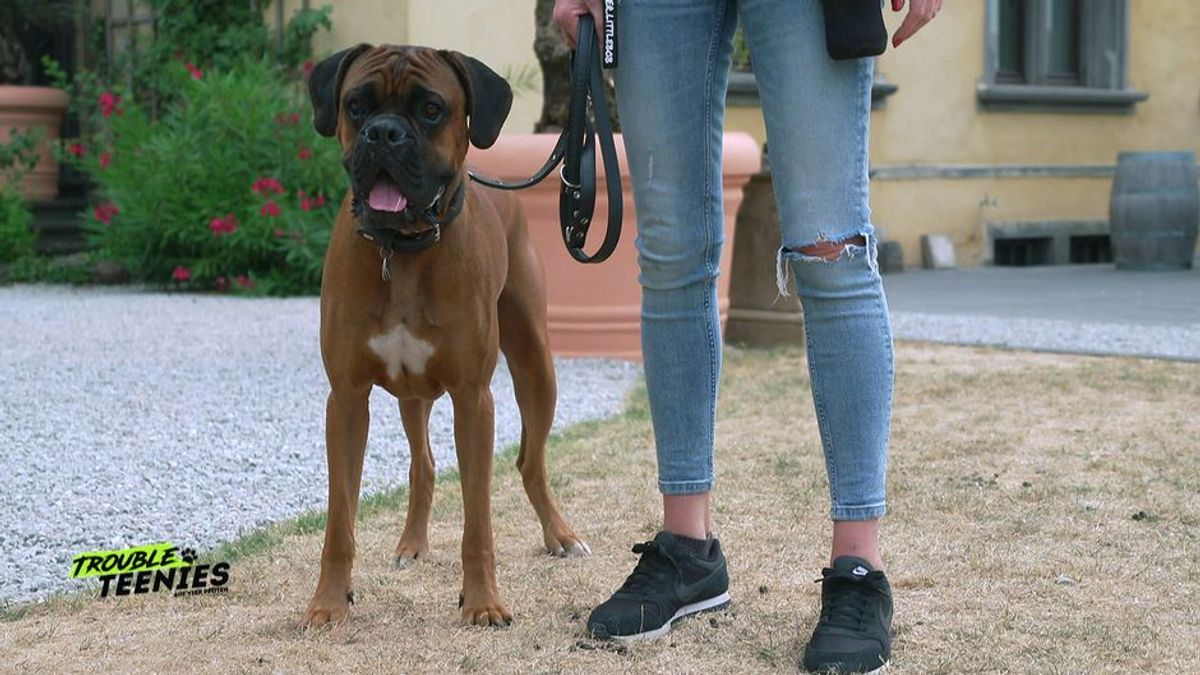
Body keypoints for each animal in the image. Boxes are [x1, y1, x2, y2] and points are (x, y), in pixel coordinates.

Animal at [302, 44, 588, 629]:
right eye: (357, 105)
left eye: (431, 109)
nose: (384, 133)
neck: (402, 250)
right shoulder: (346, 401)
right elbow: (340, 520)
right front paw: (328, 601)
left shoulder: (473, 398)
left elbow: (478, 522)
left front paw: (482, 602)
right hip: (412, 396)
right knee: (424, 466)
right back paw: (411, 545)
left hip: (536, 367)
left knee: (530, 463)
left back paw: (560, 535)